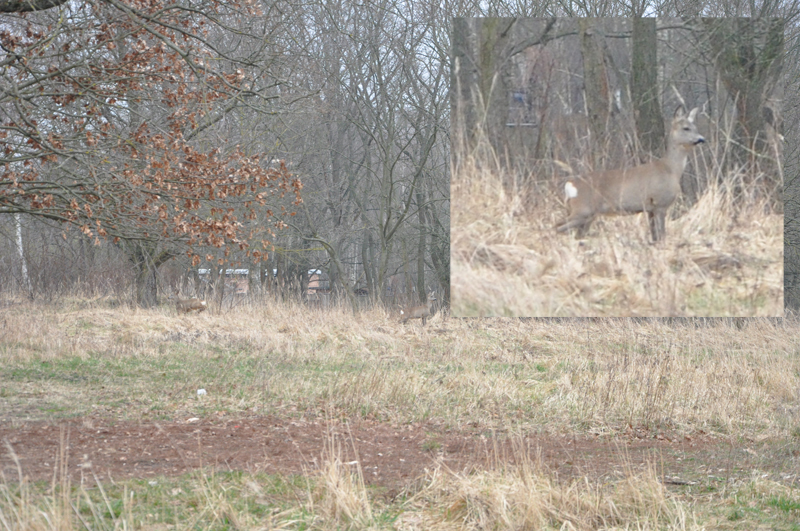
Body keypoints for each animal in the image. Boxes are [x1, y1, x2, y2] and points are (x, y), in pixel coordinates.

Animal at [556, 106, 708, 243]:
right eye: (686, 128)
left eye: (695, 127)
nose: (702, 139)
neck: (671, 170)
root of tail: (570, 184)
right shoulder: (660, 203)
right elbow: (662, 235)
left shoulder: (650, 209)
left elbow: (655, 237)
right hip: (582, 210)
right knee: (557, 227)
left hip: (586, 215)